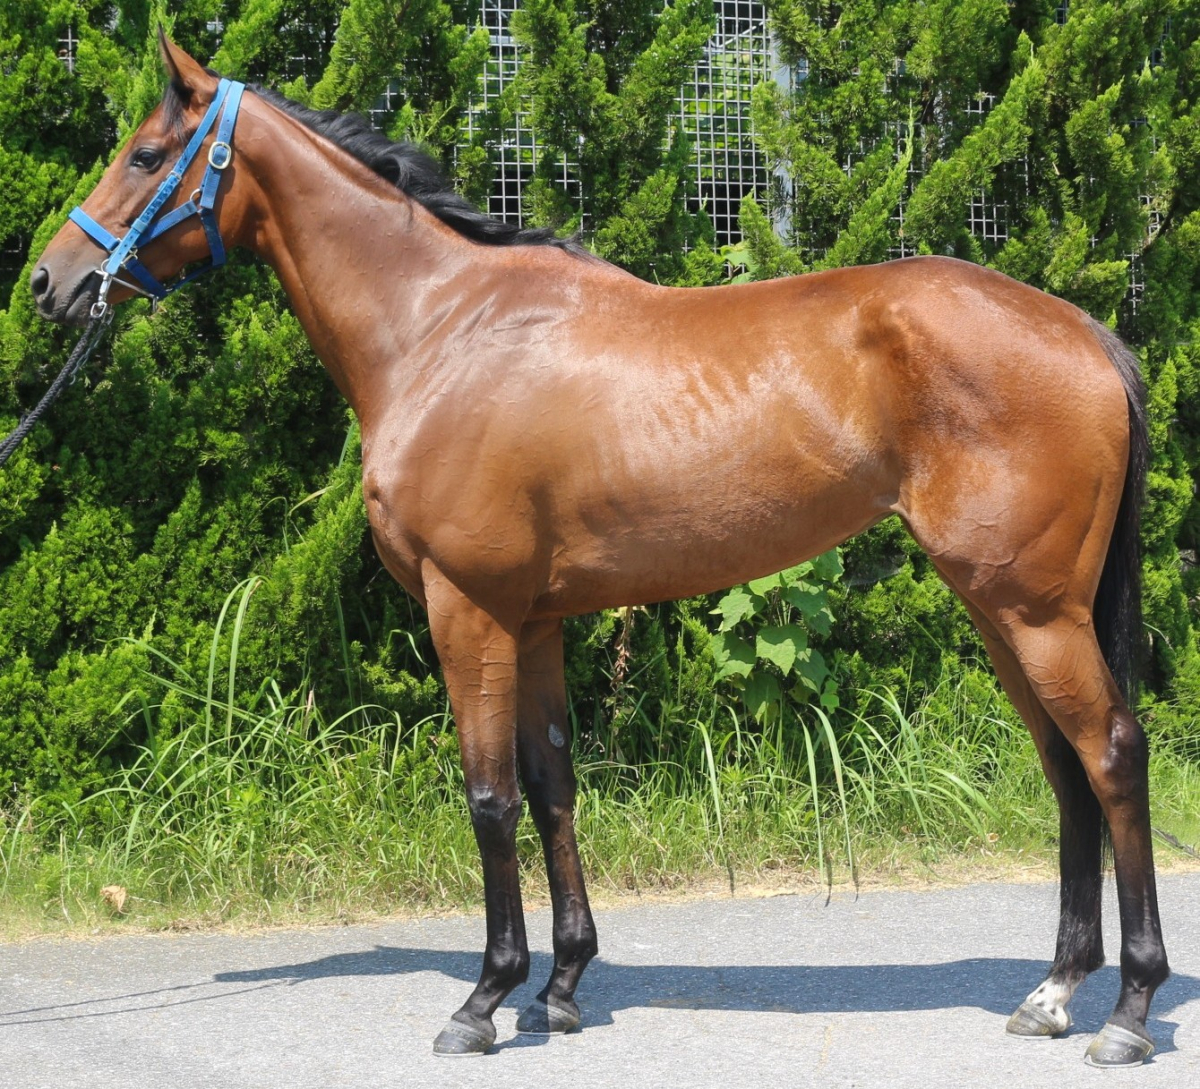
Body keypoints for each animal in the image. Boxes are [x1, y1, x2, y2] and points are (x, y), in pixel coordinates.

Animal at [30, 34, 1168, 1067]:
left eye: (144, 154)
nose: (50, 280)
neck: (443, 329)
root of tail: (1085, 331)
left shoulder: (469, 609)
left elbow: (489, 799)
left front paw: (484, 1000)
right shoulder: (533, 623)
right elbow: (552, 788)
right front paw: (562, 986)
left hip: (1035, 611)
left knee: (1112, 754)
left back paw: (1125, 1011)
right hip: (1001, 610)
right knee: (1065, 768)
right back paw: (1053, 993)